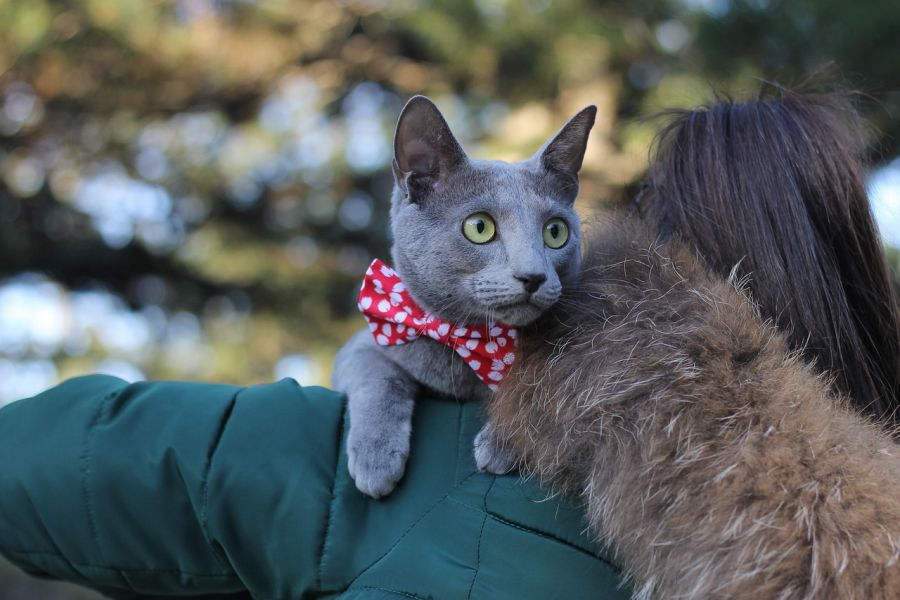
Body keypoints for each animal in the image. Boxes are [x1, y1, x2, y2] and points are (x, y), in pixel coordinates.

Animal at [334, 95, 596, 496]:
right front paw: (376, 461)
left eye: (555, 232)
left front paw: (502, 443)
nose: (533, 276)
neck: (465, 342)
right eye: (479, 227)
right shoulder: (362, 345)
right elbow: (376, 375)